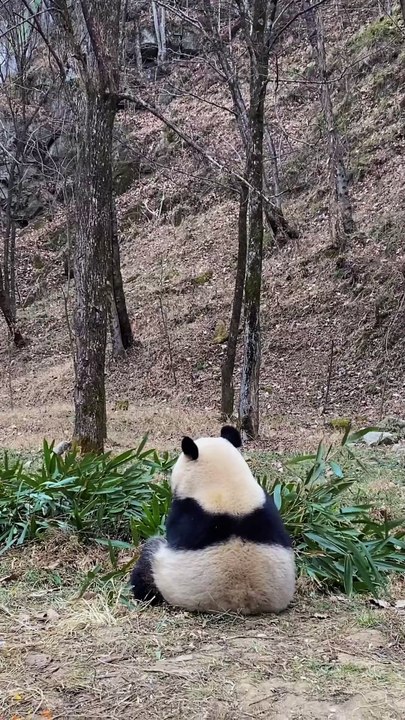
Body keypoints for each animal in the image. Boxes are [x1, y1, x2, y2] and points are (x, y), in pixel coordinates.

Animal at [130, 425, 295, 614]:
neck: (227, 485)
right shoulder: (268, 507)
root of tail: (241, 603)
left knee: (148, 559)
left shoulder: (187, 514)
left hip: (166, 578)